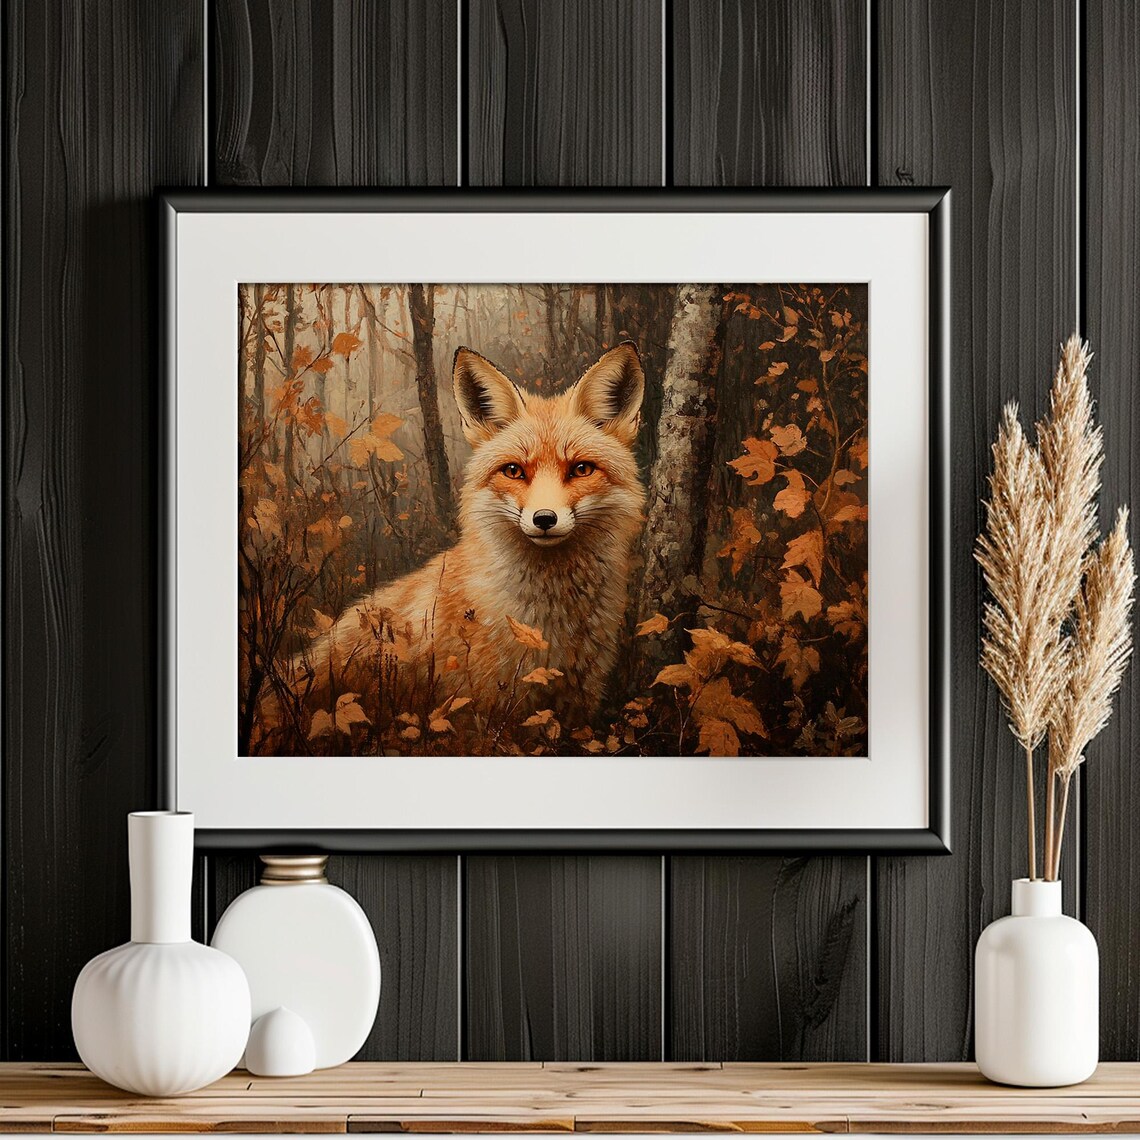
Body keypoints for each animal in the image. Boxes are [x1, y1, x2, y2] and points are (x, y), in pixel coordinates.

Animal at [271, 340, 647, 738]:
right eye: (514, 471)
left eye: (581, 469)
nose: (544, 519)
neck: (549, 624)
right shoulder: (482, 707)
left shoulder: (580, 699)